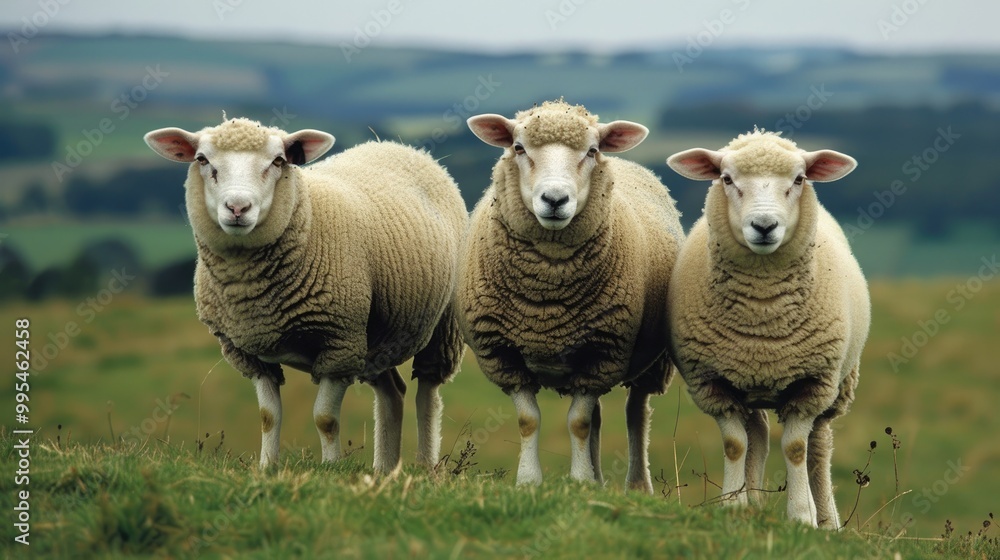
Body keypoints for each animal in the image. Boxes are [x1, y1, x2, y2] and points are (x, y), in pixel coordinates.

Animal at [143, 117, 467, 472]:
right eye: (202, 160)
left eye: (278, 161)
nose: (238, 207)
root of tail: (401, 147)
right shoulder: (250, 353)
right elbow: (268, 416)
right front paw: (267, 468)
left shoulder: (340, 344)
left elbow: (325, 418)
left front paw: (331, 469)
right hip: (376, 340)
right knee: (392, 392)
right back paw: (384, 471)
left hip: (440, 326)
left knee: (428, 392)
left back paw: (425, 467)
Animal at [459, 100, 684, 492]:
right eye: (518, 147)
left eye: (592, 151)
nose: (554, 199)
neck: (546, 298)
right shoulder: (501, 354)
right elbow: (530, 420)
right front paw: (530, 481)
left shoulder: (602, 352)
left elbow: (577, 422)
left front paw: (579, 481)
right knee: (598, 417)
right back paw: (598, 479)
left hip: (650, 363)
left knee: (635, 413)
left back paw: (637, 485)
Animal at [665, 129, 871, 528]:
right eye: (727, 179)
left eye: (799, 179)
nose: (764, 226)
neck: (762, 316)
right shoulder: (713, 384)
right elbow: (736, 445)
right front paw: (732, 505)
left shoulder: (811, 386)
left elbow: (795, 448)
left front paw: (802, 517)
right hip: (750, 385)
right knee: (757, 433)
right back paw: (754, 503)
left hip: (837, 386)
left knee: (818, 448)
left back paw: (827, 521)